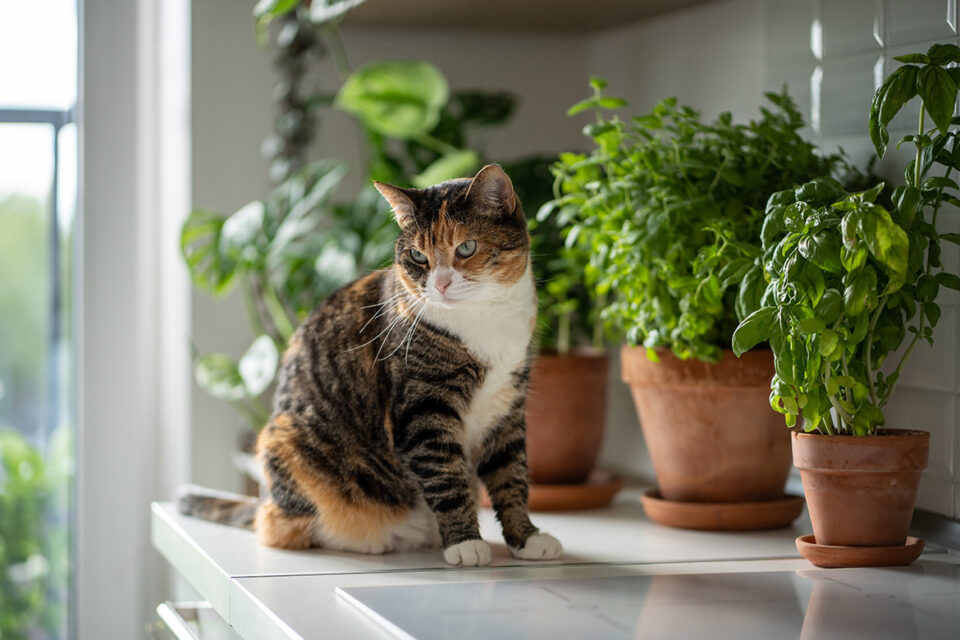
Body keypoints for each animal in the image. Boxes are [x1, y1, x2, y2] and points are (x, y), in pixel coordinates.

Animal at [180, 164, 564, 564]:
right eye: (418, 256)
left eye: (467, 247)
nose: (441, 284)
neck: (484, 321)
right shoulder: (423, 408)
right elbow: (445, 475)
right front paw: (465, 543)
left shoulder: (507, 405)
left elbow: (510, 475)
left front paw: (527, 537)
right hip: (284, 440)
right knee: (277, 525)